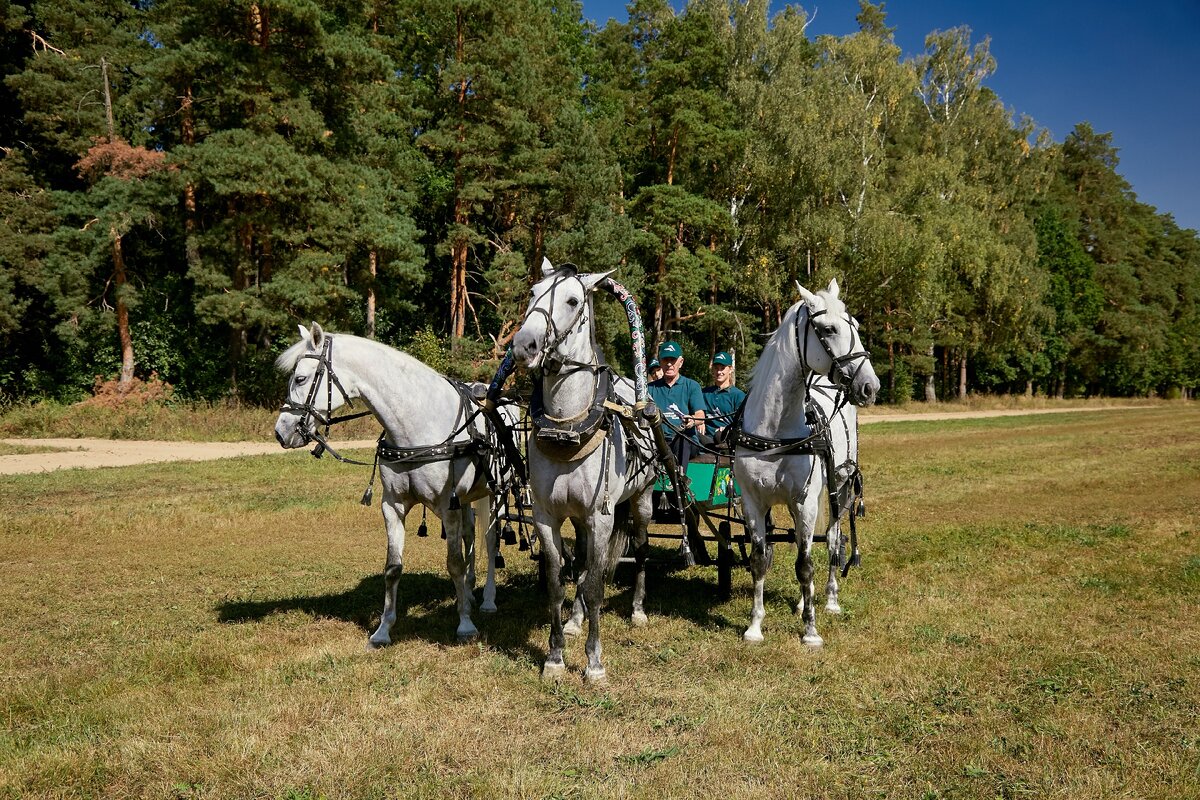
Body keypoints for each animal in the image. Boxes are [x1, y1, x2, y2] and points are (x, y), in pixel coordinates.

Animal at [274, 321, 508, 647]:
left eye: (301, 378)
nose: (281, 432)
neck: (416, 424)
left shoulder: (447, 508)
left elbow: (454, 563)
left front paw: (464, 625)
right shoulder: (393, 506)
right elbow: (393, 567)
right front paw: (383, 630)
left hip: (495, 494)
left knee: (490, 539)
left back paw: (487, 600)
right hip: (467, 499)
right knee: (471, 534)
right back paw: (471, 594)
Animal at [729, 280, 883, 642]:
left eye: (855, 325)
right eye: (829, 329)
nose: (870, 386)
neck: (775, 428)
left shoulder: (805, 501)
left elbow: (805, 563)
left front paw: (811, 630)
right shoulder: (753, 502)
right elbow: (761, 559)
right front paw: (755, 626)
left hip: (840, 488)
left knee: (830, 543)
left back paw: (827, 599)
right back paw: (803, 602)